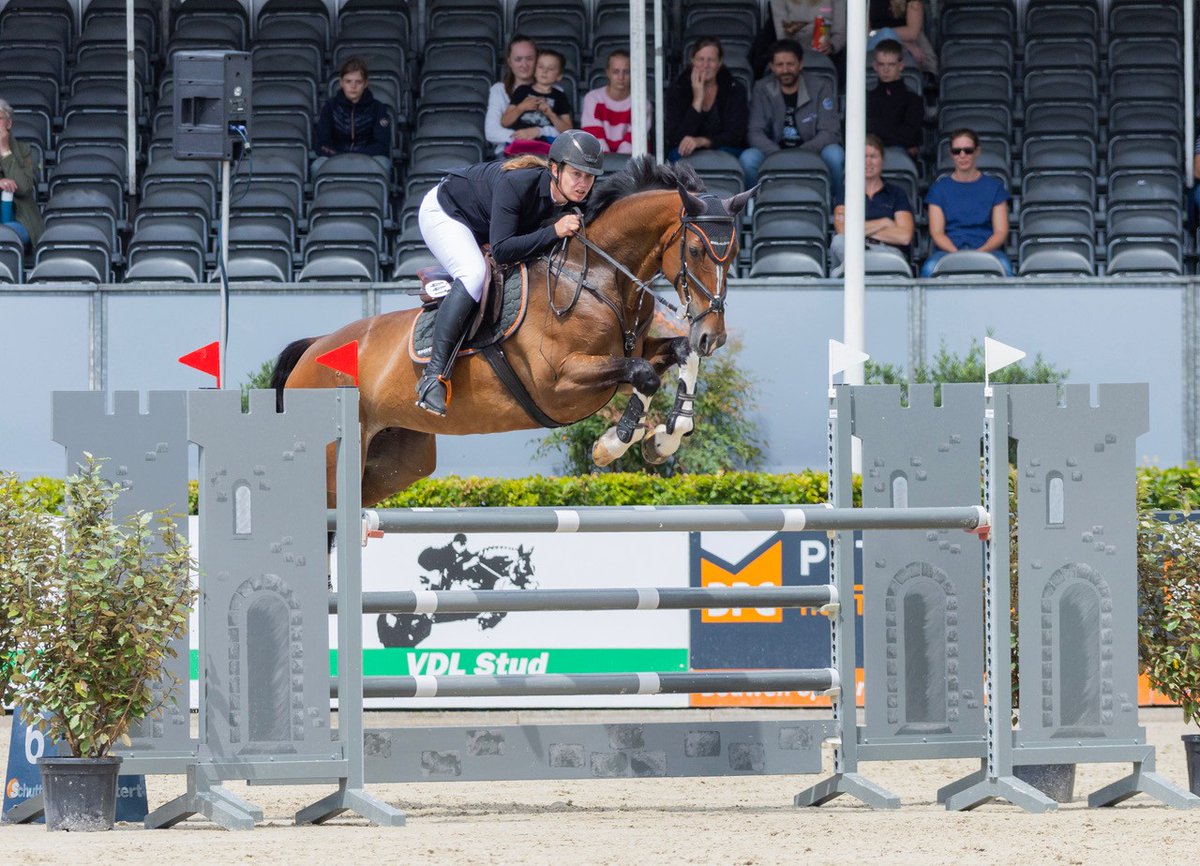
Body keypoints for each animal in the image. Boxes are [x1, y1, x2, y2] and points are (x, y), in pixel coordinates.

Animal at [271, 156, 754, 507]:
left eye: (732, 256)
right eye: (697, 250)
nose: (714, 335)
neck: (598, 275)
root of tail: (315, 348)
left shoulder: (633, 351)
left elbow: (678, 355)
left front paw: (665, 438)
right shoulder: (558, 382)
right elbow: (645, 375)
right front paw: (611, 445)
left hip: (396, 462)